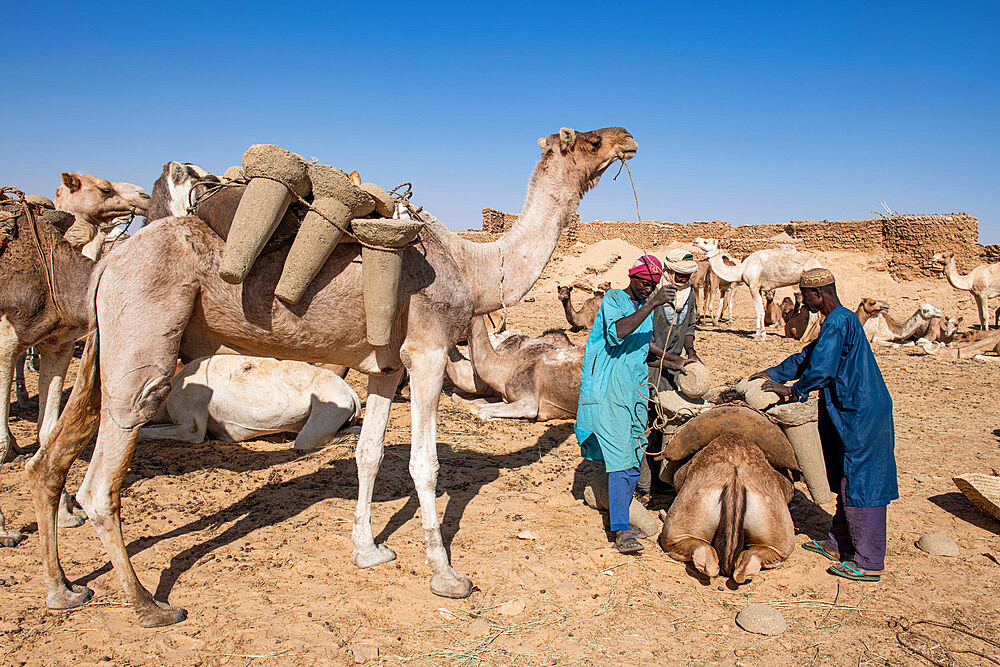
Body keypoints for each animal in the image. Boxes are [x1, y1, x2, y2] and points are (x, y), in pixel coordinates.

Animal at [692, 237, 824, 340]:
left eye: (705, 241)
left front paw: (757, 335)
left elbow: (757, 311)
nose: (695, 241)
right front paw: (763, 335)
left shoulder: (753, 286)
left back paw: (802, 339)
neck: (741, 269)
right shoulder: (759, 288)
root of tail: (820, 265)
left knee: (813, 315)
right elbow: (761, 310)